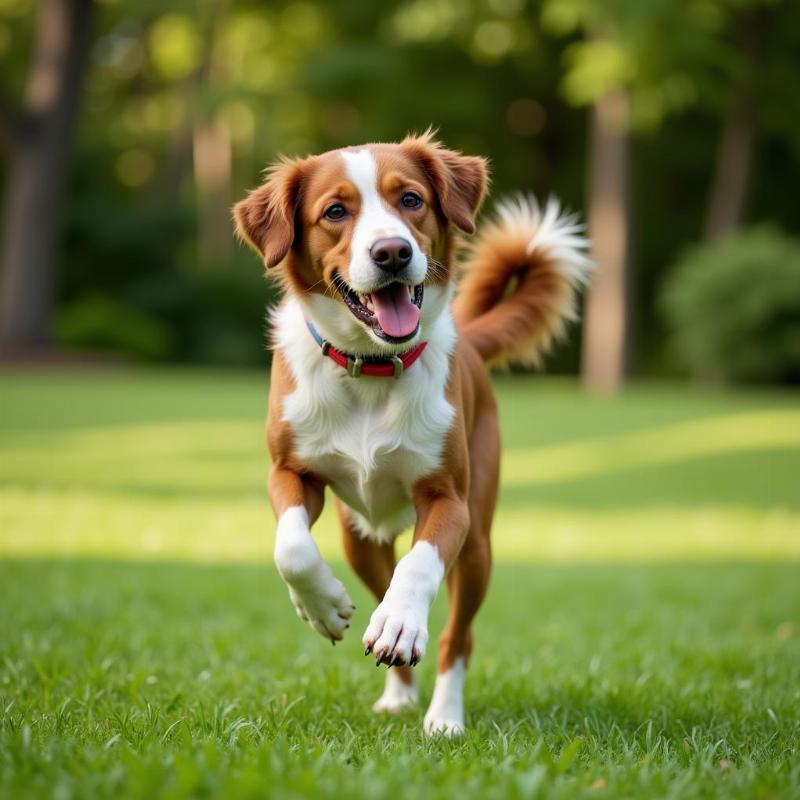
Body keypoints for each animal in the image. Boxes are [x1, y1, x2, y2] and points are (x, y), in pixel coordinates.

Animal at [231, 131, 588, 736]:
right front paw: (322, 607)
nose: (392, 252)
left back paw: (443, 713)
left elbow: (419, 566)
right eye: (335, 211)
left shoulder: (449, 501)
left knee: (454, 635)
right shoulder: (289, 472)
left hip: (478, 548)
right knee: (379, 582)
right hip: (360, 539)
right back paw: (397, 693)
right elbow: (293, 547)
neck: (373, 368)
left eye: (411, 200)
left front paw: (401, 624)